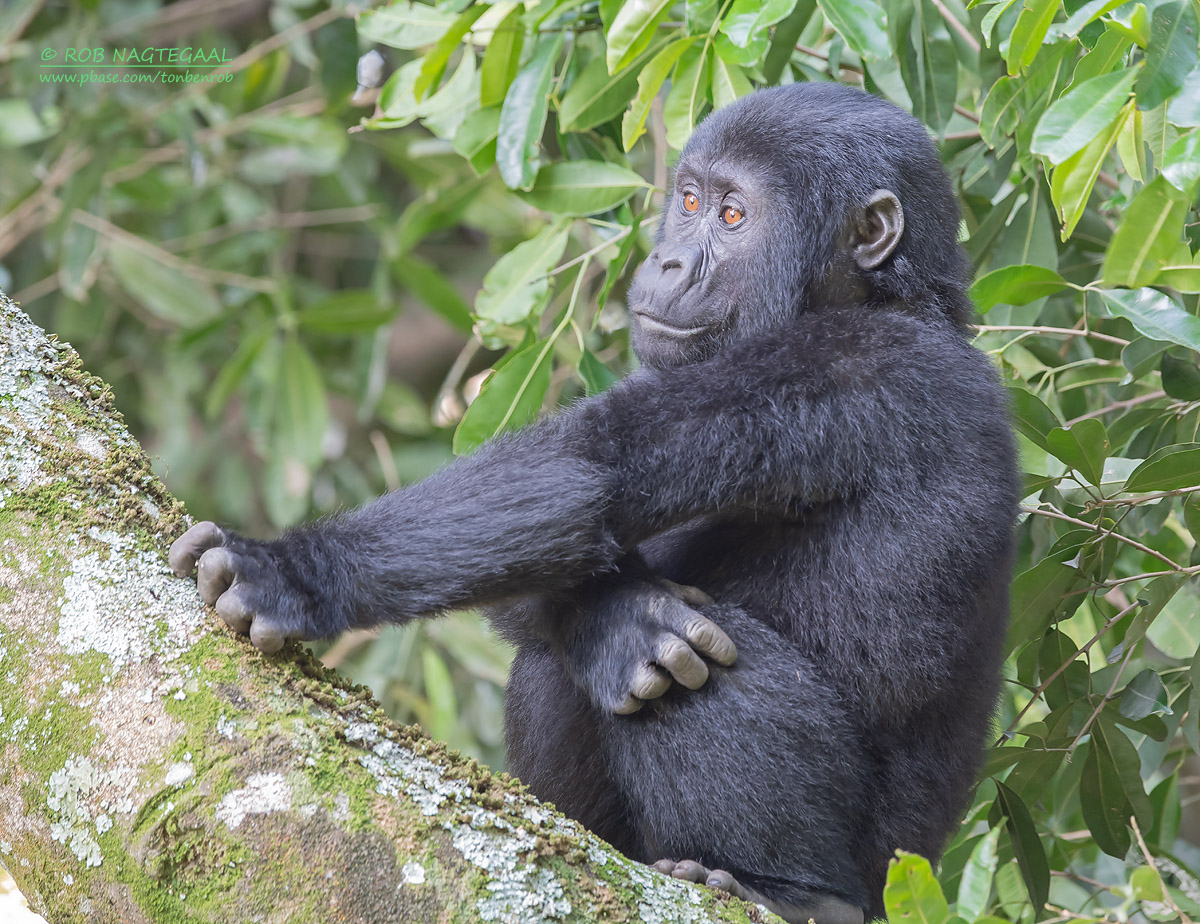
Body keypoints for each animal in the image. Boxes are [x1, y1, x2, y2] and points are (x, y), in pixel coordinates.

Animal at [169, 82, 1017, 916]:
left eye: (733, 216)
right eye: (688, 198)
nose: (668, 259)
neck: (882, 298)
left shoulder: (847, 366)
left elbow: (587, 468)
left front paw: (291, 575)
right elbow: (557, 566)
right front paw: (618, 626)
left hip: (889, 877)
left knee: (705, 670)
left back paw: (795, 894)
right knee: (563, 656)